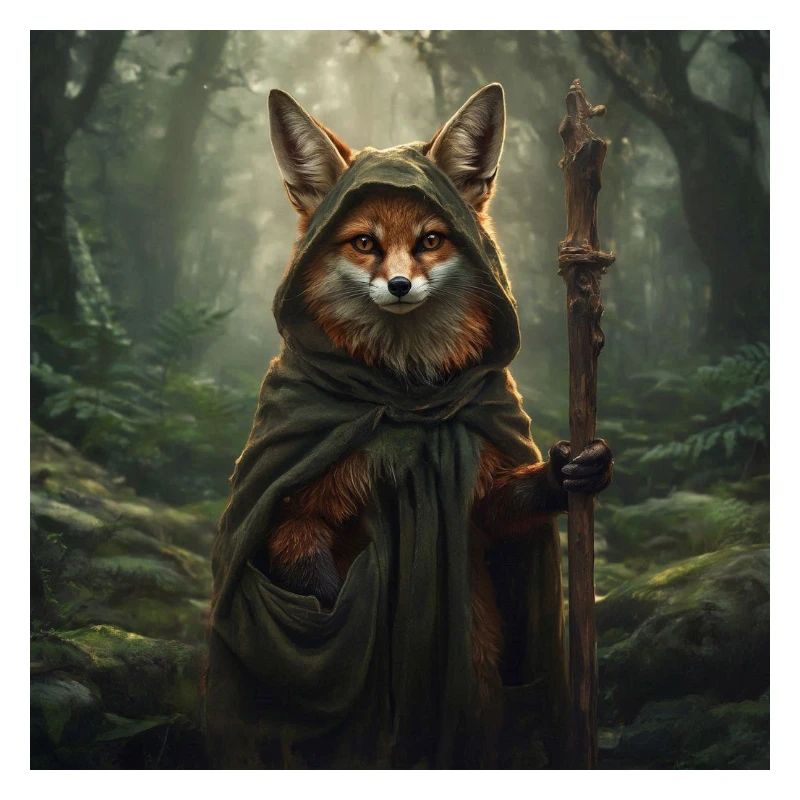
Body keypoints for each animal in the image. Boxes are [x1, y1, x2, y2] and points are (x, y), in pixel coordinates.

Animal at [264, 84, 613, 713]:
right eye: (364, 243)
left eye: (430, 240)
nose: (400, 285)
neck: (404, 396)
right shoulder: (294, 502)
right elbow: (311, 571)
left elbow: (502, 507)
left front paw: (573, 471)